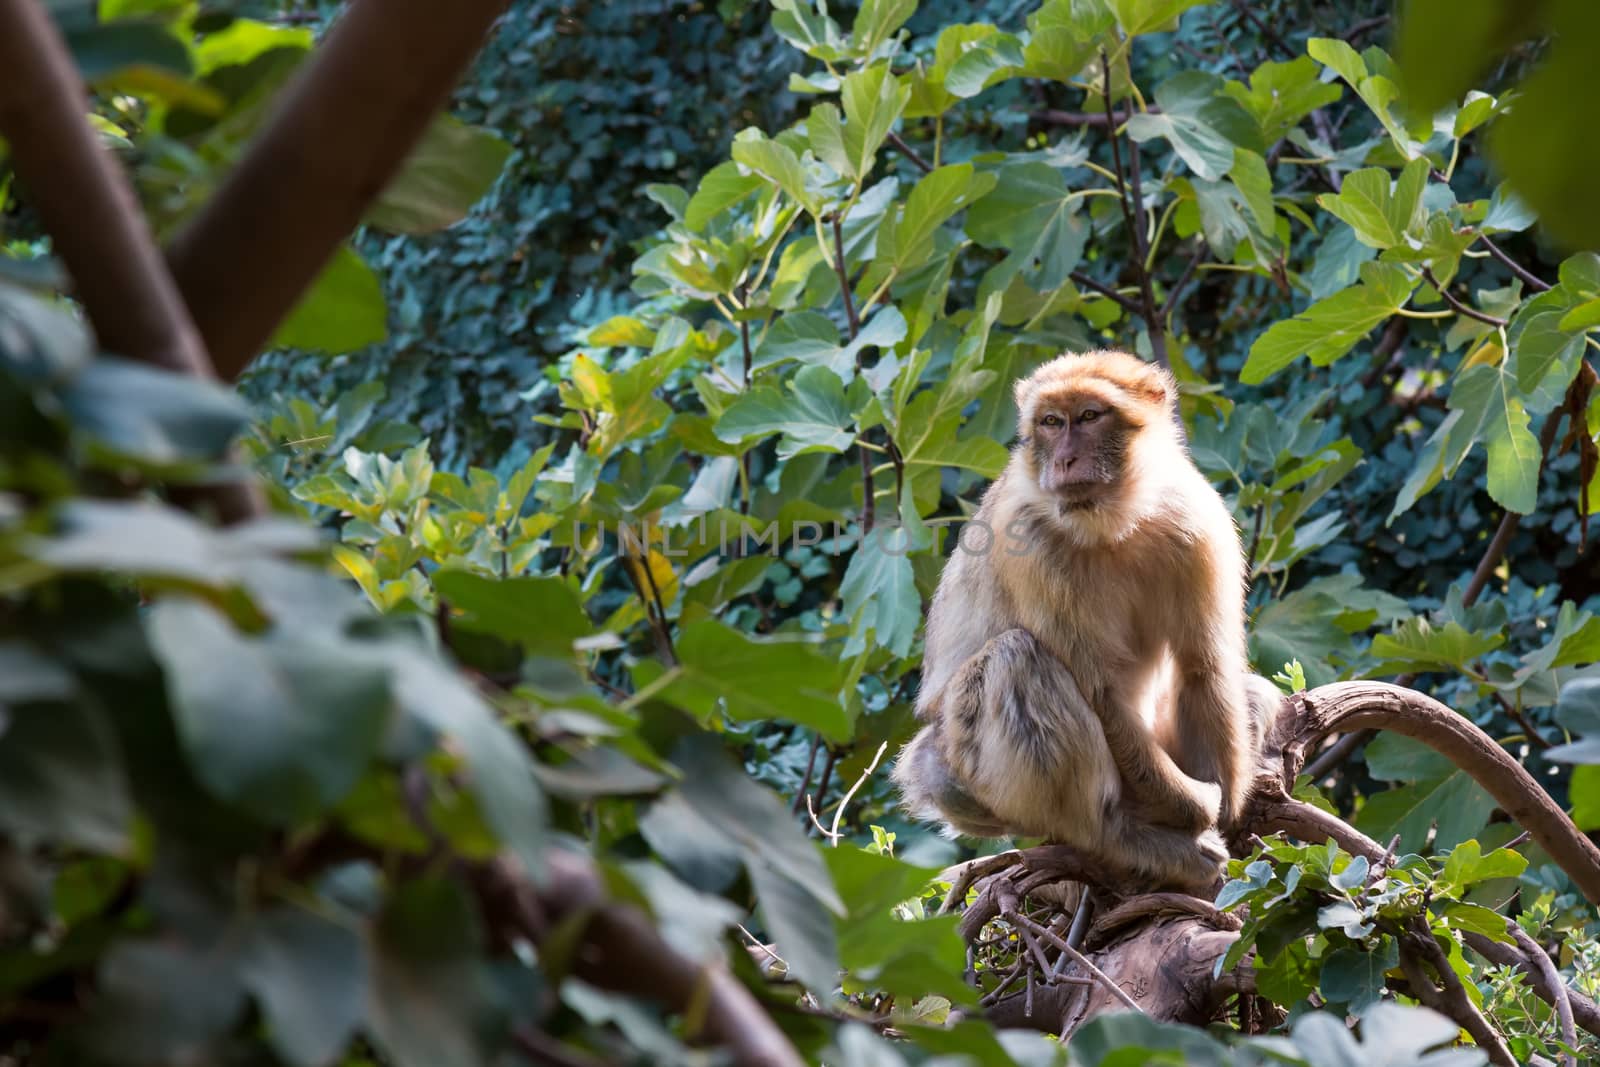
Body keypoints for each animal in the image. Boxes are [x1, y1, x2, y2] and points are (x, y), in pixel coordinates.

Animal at [889, 350, 1273, 895]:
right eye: (1051, 422)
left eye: (1090, 416)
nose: (1064, 460)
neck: (1112, 522)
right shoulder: (1028, 540)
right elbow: (1102, 693)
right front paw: (1197, 808)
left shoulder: (1196, 520)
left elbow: (1203, 667)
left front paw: (1227, 813)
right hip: (971, 775)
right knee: (1018, 660)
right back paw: (1125, 838)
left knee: (1251, 692)